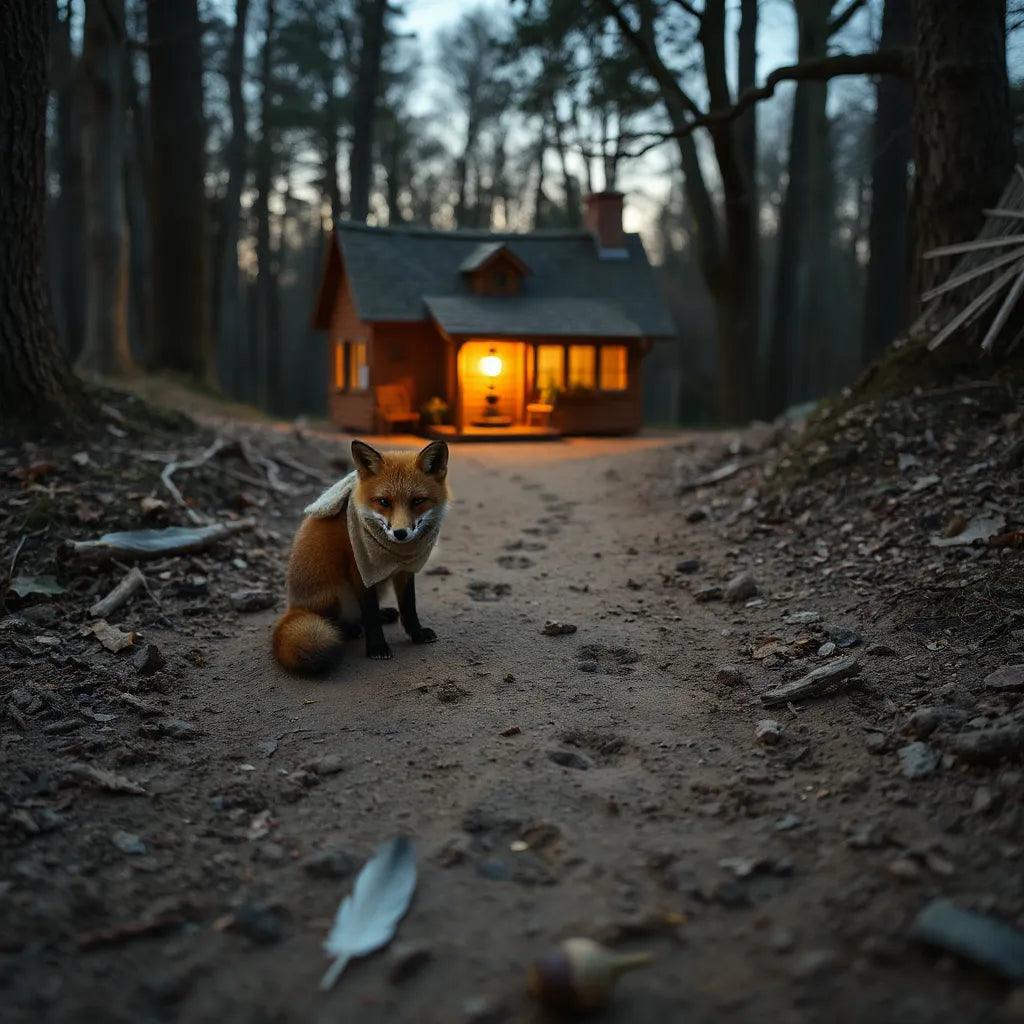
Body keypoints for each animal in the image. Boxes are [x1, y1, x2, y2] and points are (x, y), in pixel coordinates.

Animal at [271, 438, 450, 674]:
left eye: (418, 501)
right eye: (383, 502)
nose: (400, 533)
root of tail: (294, 608)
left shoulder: (403, 569)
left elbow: (409, 605)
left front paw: (416, 634)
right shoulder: (360, 571)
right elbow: (370, 612)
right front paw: (377, 647)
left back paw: (383, 615)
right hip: (336, 593)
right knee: (343, 620)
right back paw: (349, 629)